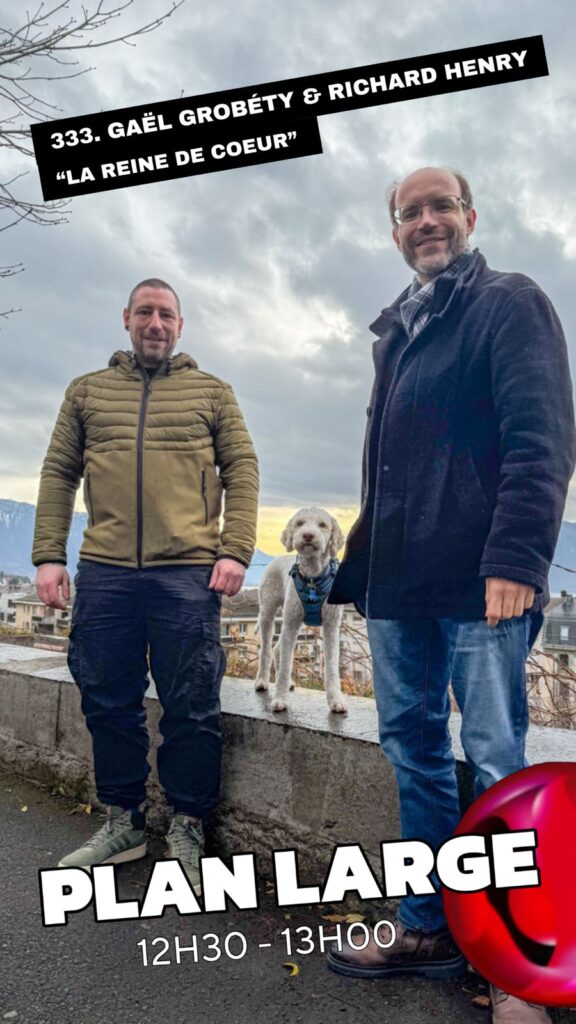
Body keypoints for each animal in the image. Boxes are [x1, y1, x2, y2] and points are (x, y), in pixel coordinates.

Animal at [255, 506, 347, 713]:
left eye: (322, 524)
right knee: (266, 649)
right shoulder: (290, 623)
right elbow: (286, 664)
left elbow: (331, 666)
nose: (308, 535)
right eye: (300, 523)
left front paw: (336, 700)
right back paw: (262, 680)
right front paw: (280, 699)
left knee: (277, 649)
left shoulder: (331, 626)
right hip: (269, 611)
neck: (313, 578)